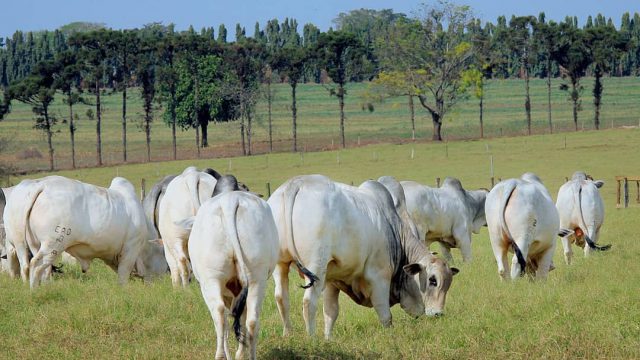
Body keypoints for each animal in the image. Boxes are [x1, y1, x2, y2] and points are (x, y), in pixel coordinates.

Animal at [3, 176, 168, 288]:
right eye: (164, 254)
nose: (166, 274)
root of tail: (40, 185)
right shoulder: (130, 249)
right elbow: (122, 276)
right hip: (53, 244)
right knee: (35, 265)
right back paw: (35, 291)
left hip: (34, 244)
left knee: (41, 269)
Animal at [182, 183, 278, 360]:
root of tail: (229, 202)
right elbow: (240, 316)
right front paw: (240, 353)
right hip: (257, 279)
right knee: (251, 320)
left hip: (211, 280)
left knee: (220, 315)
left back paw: (220, 355)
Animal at [268, 176, 458, 338]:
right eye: (433, 280)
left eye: (448, 284)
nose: (438, 314)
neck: (395, 229)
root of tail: (295, 184)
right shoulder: (379, 277)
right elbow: (385, 315)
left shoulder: (331, 281)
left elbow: (331, 312)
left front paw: (328, 339)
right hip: (315, 265)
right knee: (308, 302)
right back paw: (311, 338)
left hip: (281, 265)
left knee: (281, 298)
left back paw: (288, 334)